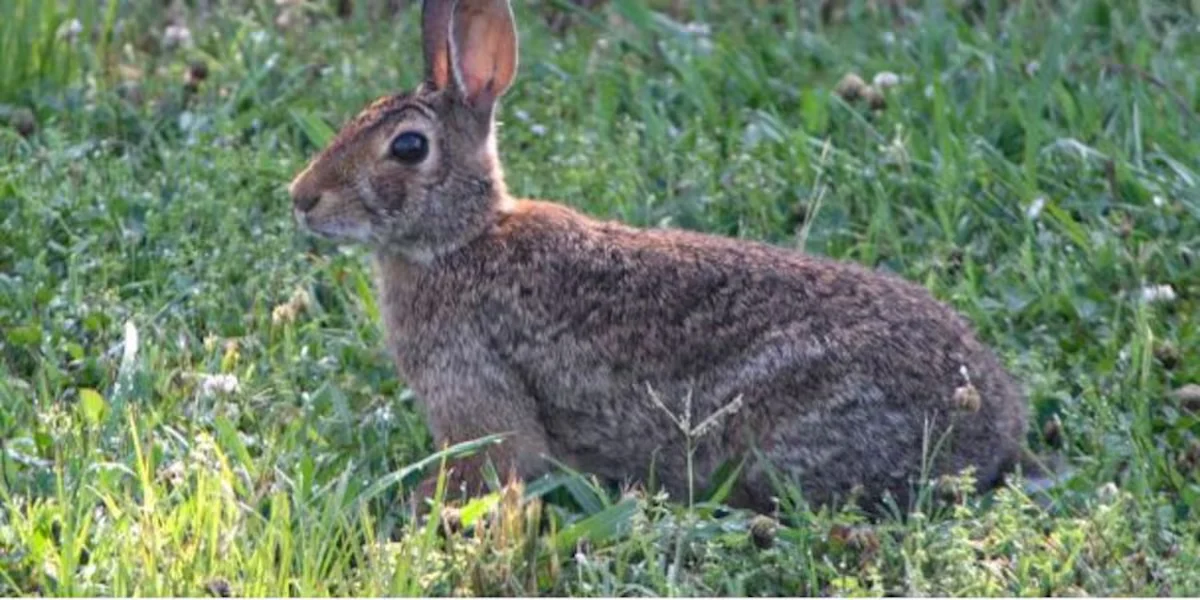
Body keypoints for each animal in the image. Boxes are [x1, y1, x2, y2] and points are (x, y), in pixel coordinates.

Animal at [287, 0, 1030, 515]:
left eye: (408, 148)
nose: (301, 198)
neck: (463, 239)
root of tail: (992, 429)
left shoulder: (478, 394)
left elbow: (498, 462)